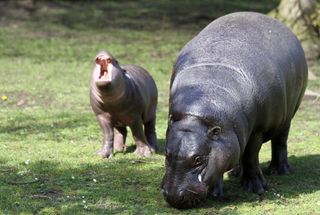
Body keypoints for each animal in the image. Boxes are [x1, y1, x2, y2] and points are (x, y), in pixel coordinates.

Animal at [161, 11, 308, 208]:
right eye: (166, 154)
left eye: (198, 159)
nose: (173, 197)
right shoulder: (223, 136)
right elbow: (223, 161)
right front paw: (216, 193)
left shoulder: (256, 130)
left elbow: (251, 156)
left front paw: (256, 188)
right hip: (239, 132)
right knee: (238, 151)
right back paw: (235, 173)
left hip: (287, 115)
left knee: (280, 141)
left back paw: (279, 171)